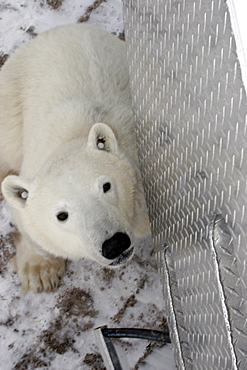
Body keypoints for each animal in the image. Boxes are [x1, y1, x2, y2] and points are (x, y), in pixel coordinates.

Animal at [0, 24, 149, 294]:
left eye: (106, 185)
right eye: (62, 215)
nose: (114, 244)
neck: (75, 134)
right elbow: (28, 222)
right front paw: (40, 272)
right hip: (11, 98)